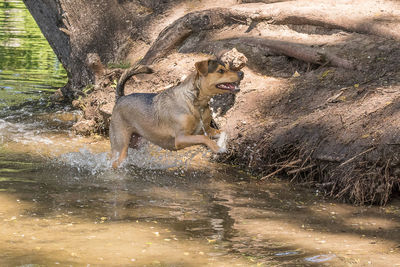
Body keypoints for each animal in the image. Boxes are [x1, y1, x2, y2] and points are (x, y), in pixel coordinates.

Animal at [109, 60, 244, 170]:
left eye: (227, 67)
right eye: (221, 71)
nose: (242, 73)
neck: (195, 103)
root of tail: (120, 98)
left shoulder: (207, 129)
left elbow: (223, 132)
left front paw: (221, 143)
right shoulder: (181, 138)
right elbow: (204, 138)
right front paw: (217, 148)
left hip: (136, 142)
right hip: (120, 146)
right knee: (115, 162)